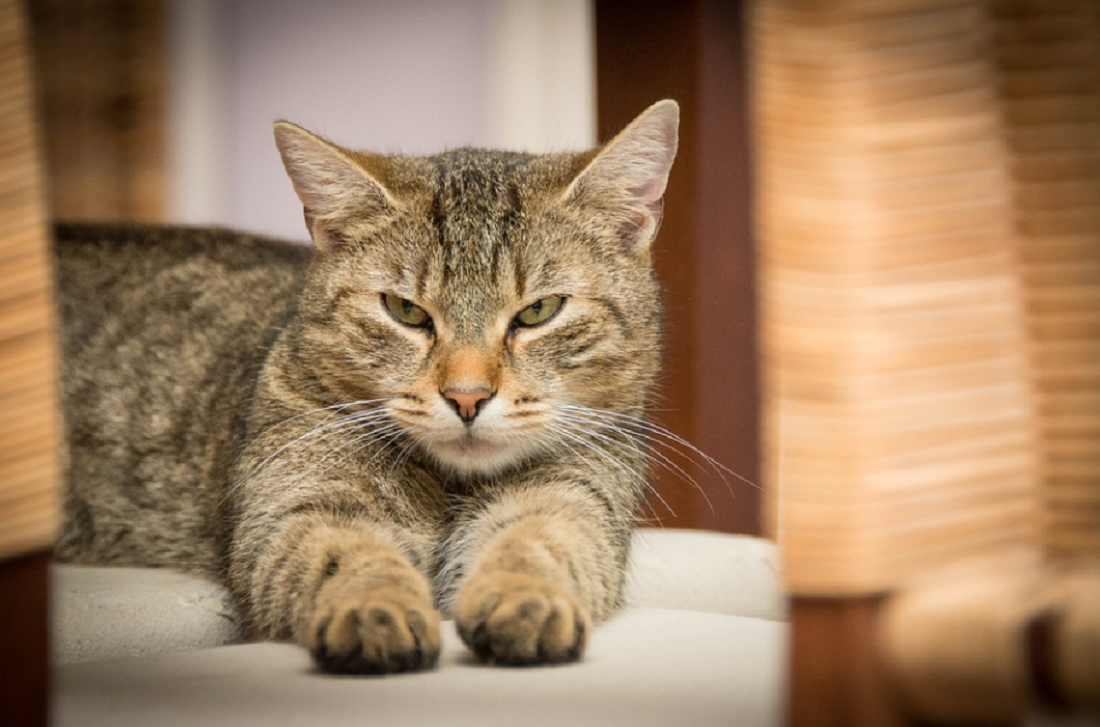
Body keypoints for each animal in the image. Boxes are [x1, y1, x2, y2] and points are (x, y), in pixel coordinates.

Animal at [60, 98, 682, 673]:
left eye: (539, 312)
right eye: (405, 310)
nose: (467, 397)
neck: (449, 486)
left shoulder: (576, 495)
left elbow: (538, 541)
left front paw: (525, 598)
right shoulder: (298, 505)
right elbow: (348, 553)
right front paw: (375, 608)